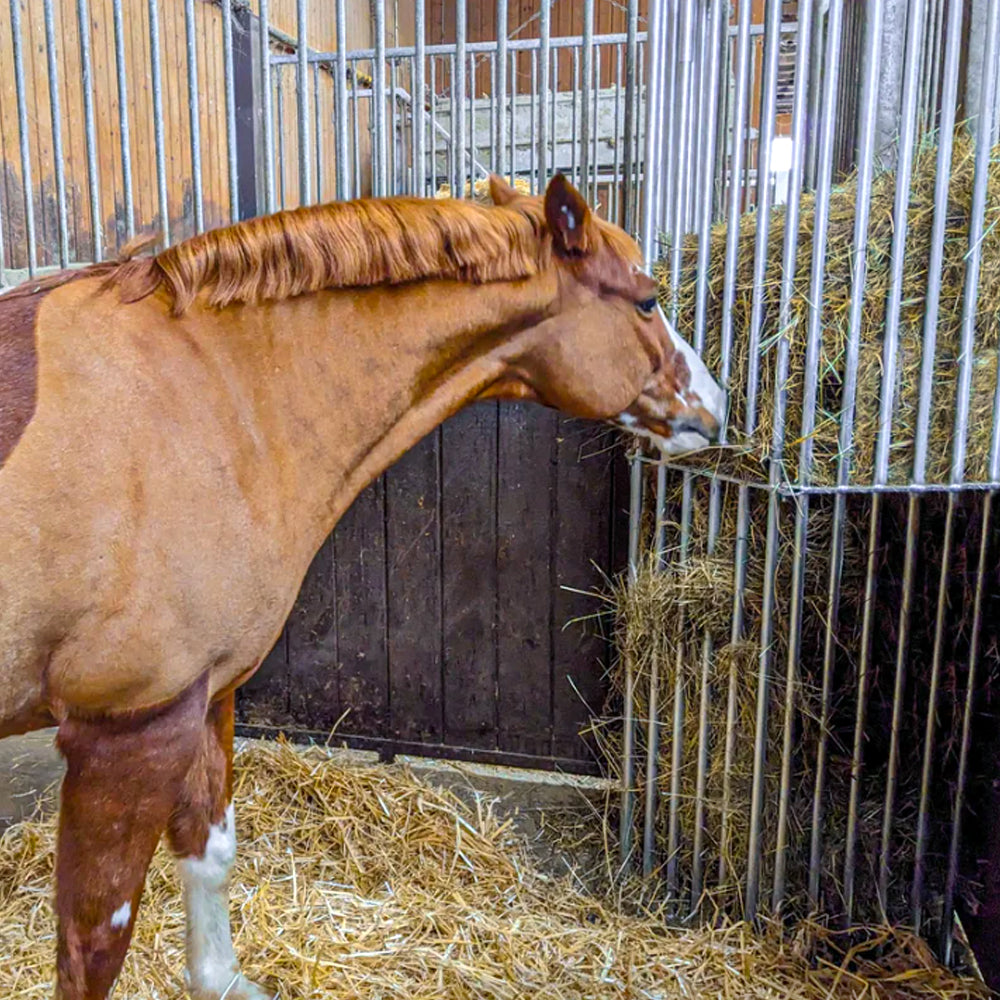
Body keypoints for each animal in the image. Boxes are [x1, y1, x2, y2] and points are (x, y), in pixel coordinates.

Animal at [0, 173, 724, 999]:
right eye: (646, 299)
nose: (716, 408)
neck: (207, 399)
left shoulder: (205, 698)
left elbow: (209, 851)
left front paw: (221, 978)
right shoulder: (127, 730)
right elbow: (94, 941)